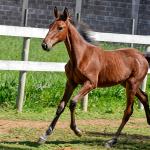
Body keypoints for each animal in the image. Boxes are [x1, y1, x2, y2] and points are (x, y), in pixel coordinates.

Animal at [38, 6, 149, 148]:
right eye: (50, 25)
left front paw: (77, 131)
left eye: (60, 27)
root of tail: (142, 56)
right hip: (126, 83)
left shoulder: (90, 83)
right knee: (144, 97)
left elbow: (73, 103)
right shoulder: (71, 82)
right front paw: (44, 136)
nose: (45, 45)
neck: (81, 56)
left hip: (132, 84)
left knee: (128, 111)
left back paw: (111, 141)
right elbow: (61, 106)